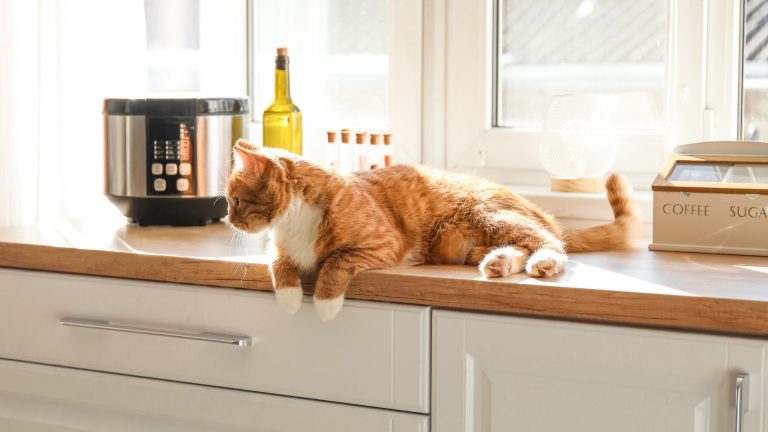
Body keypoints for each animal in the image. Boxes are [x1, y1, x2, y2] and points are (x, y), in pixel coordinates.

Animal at [225, 139, 640, 320]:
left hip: (488, 215)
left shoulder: (381, 245)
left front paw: (326, 304)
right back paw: (499, 263)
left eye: (236, 201)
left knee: (549, 242)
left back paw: (545, 263)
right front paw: (289, 299)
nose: (229, 220)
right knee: (517, 247)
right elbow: (279, 267)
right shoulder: (279, 252)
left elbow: (335, 263)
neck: (291, 222)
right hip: (459, 243)